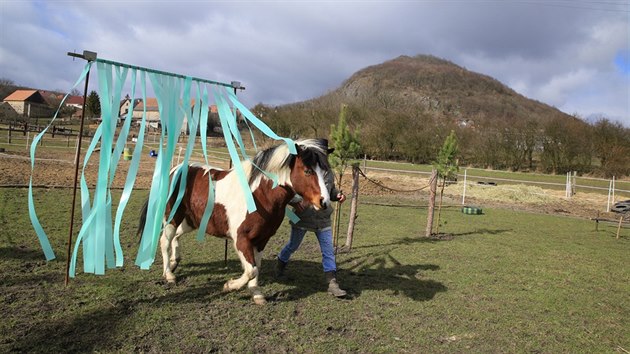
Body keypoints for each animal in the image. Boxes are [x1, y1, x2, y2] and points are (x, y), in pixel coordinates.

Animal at [136, 138, 334, 304]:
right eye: (308, 171)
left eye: (325, 171)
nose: (324, 202)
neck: (259, 195)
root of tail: (174, 170)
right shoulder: (241, 239)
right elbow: (251, 269)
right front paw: (229, 286)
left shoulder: (261, 240)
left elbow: (256, 266)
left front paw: (256, 294)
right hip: (172, 217)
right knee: (165, 240)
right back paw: (169, 274)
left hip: (190, 221)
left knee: (175, 237)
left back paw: (174, 262)